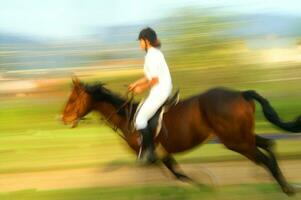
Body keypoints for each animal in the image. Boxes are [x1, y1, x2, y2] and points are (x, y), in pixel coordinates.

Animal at [61, 77, 300, 195]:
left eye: (72, 99)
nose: (63, 118)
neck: (127, 117)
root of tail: (241, 93)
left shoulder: (154, 154)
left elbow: (178, 174)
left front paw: (205, 185)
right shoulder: (161, 154)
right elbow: (177, 174)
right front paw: (203, 186)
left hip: (236, 142)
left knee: (264, 158)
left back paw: (286, 188)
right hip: (243, 137)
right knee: (269, 145)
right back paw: (285, 185)